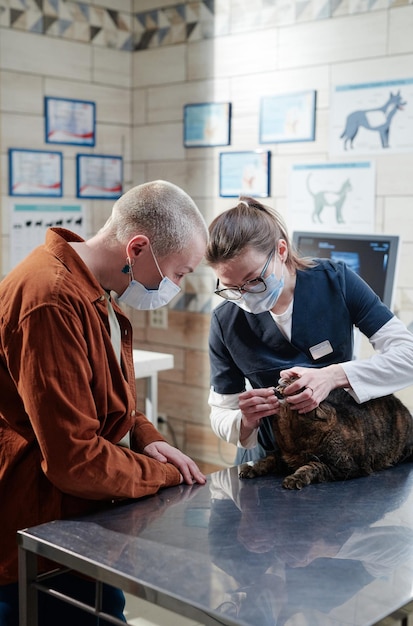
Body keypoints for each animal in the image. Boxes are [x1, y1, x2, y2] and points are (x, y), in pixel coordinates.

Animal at [238, 378, 412, 490]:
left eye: (302, 385)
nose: (289, 375)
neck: (293, 442)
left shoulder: (345, 467)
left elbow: (313, 466)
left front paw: (295, 478)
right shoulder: (281, 455)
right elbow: (267, 459)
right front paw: (250, 468)